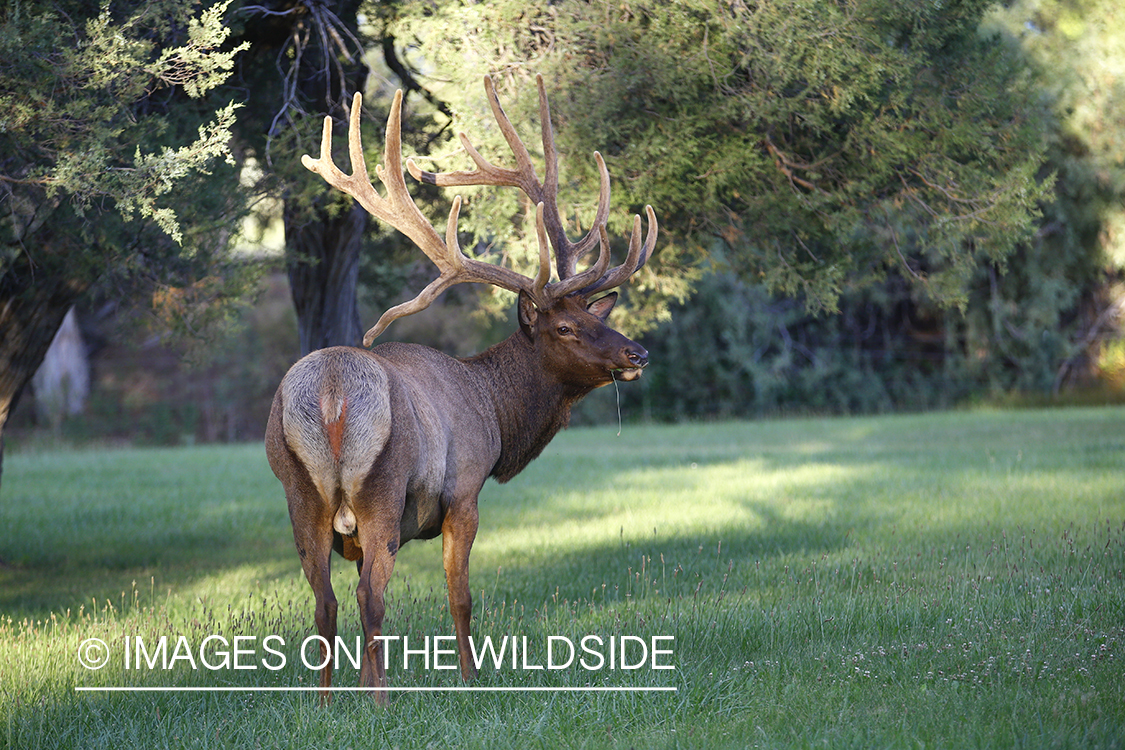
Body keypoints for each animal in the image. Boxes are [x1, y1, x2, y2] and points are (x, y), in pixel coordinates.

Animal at [266, 73, 657, 701]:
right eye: (565, 327)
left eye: (596, 314)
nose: (636, 353)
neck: (494, 410)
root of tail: (330, 391)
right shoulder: (466, 490)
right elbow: (461, 595)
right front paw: (471, 680)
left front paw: (360, 685)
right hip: (383, 487)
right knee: (369, 597)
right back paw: (381, 703)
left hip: (298, 492)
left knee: (325, 602)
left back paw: (326, 703)